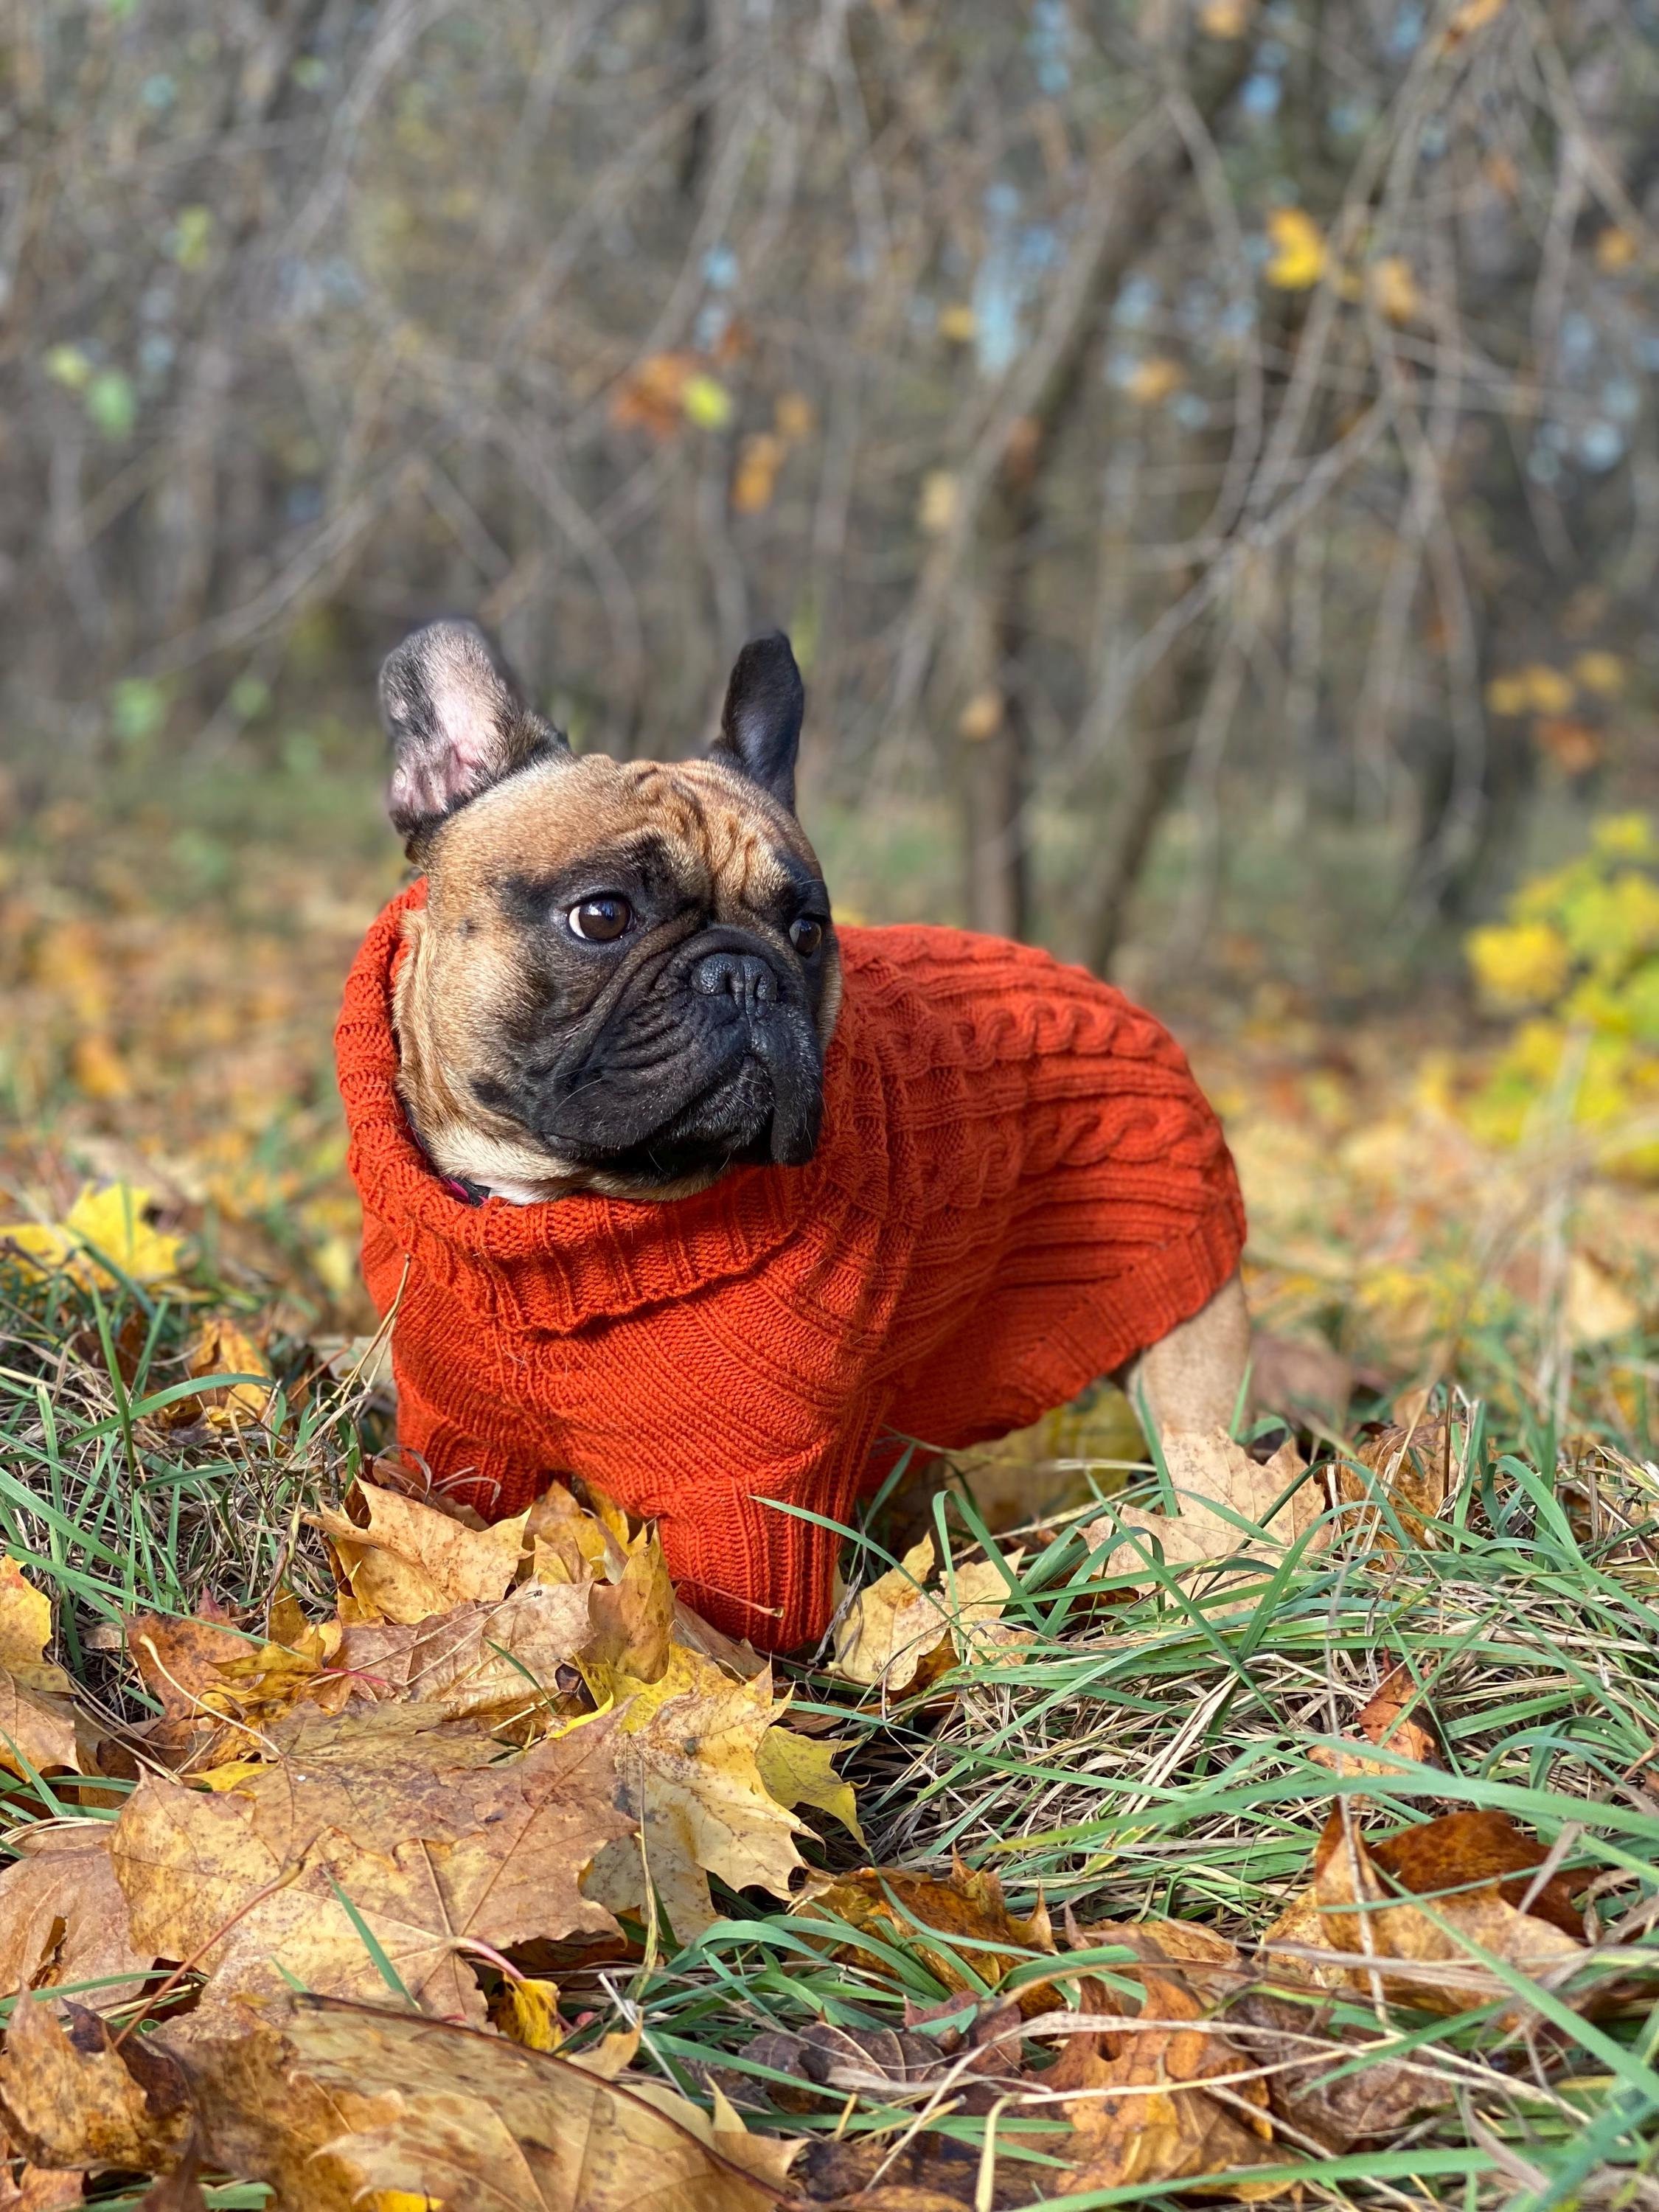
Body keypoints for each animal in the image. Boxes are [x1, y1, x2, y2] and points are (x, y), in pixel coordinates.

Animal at [337, 620, 1249, 1650]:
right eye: (601, 915)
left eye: (809, 931)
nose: (746, 973)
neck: (562, 1216)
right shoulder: (460, 1437)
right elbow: (455, 1541)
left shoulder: (750, 1500)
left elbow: (729, 1639)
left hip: (1191, 1348)